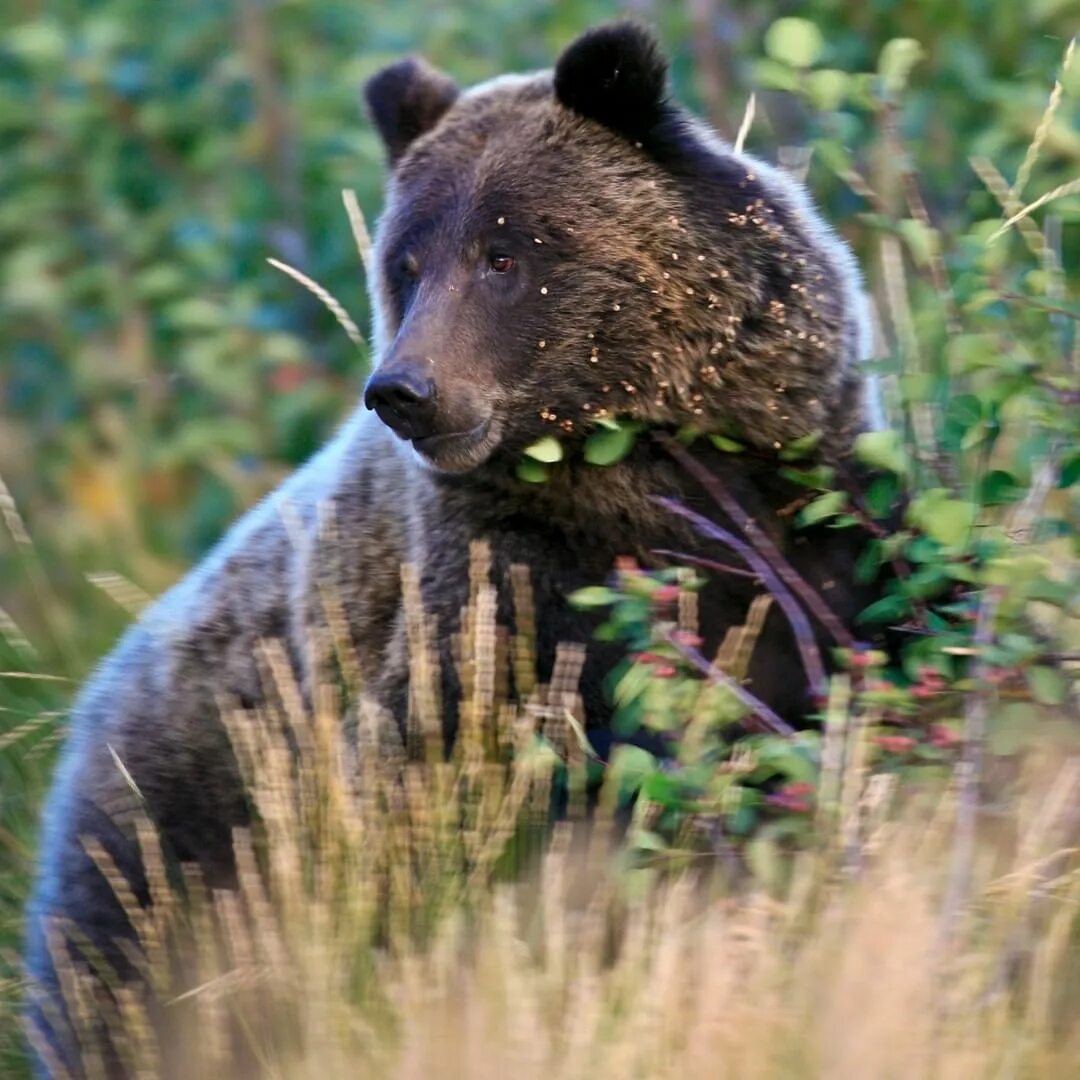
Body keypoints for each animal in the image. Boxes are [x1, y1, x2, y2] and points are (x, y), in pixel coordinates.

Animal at [27, 21, 876, 1075]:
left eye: (504, 254)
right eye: (407, 262)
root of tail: (84, 715)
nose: (404, 390)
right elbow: (435, 800)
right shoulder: (493, 597)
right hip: (166, 849)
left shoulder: (806, 535)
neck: (648, 485)